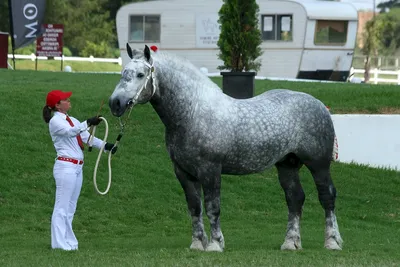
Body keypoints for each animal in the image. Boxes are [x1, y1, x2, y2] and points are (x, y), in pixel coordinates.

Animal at [109, 44, 344, 253]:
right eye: (123, 72)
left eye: (140, 74)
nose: (115, 103)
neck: (193, 112)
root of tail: (320, 106)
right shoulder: (183, 172)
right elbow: (195, 207)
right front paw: (197, 244)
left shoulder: (210, 170)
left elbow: (213, 207)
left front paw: (215, 244)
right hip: (287, 165)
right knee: (295, 199)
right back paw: (290, 243)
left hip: (319, 165)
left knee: (327, 196)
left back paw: (332, 242)